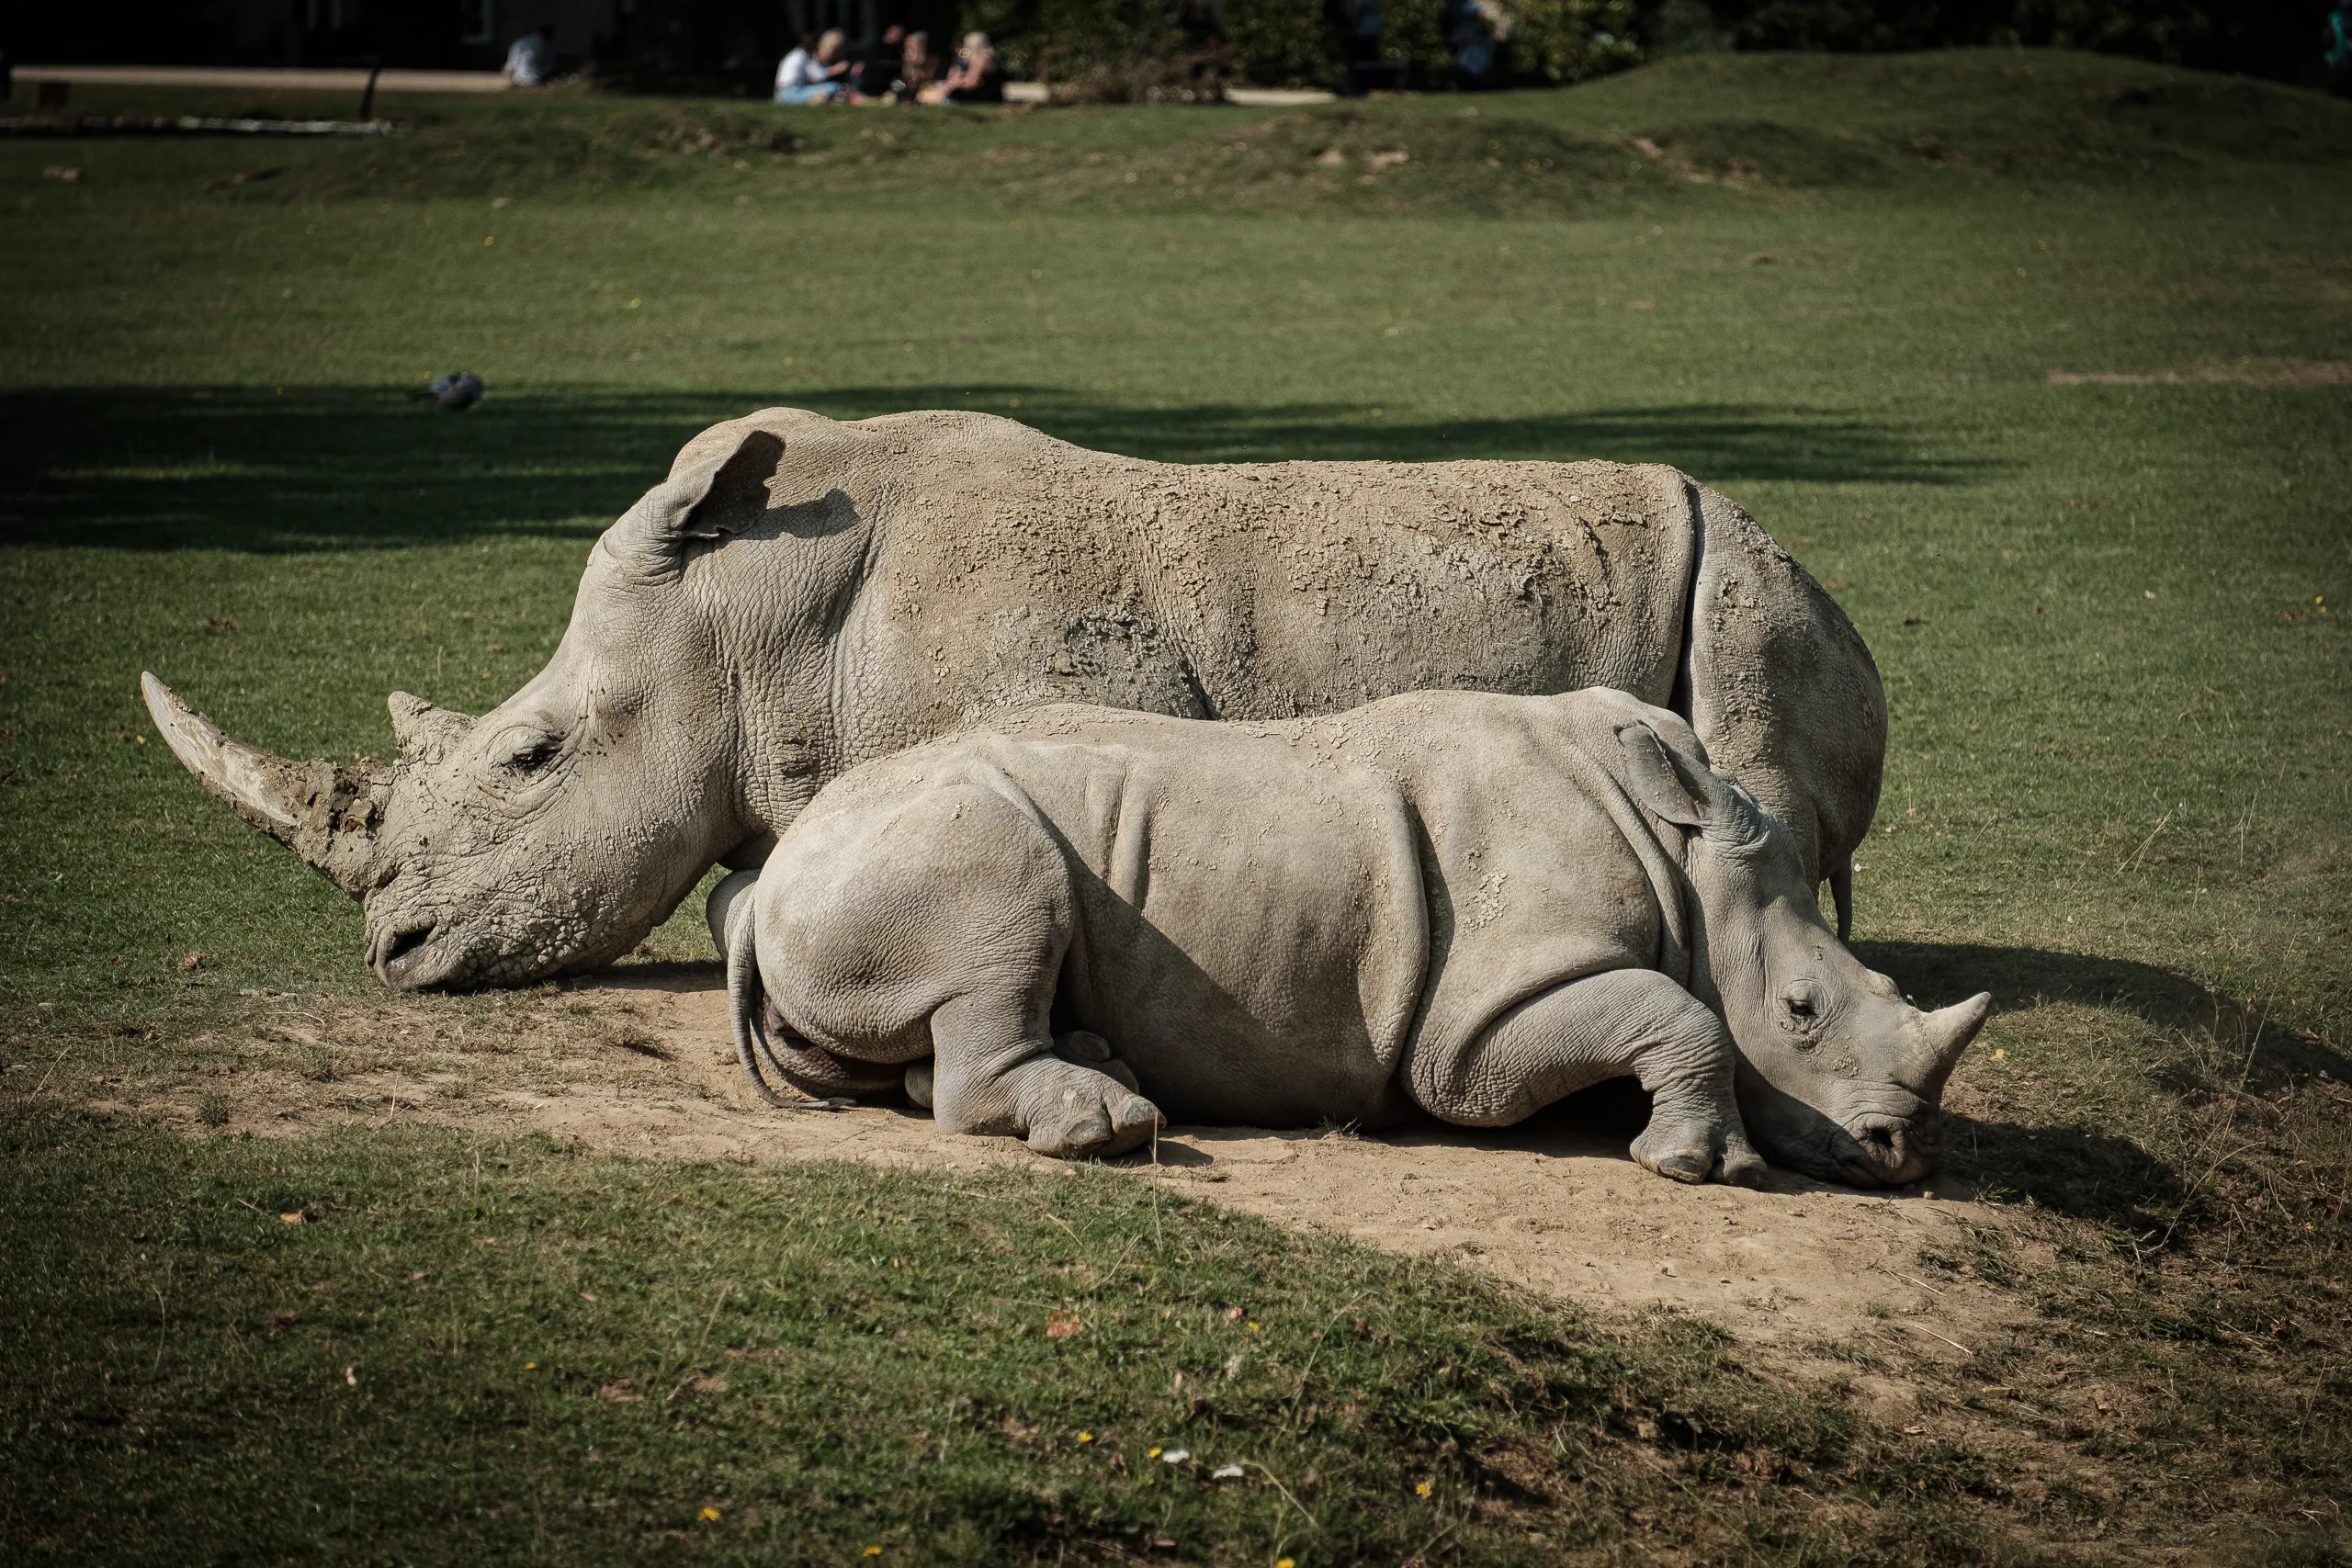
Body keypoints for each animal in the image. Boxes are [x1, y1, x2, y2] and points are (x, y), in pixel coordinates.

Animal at [721, 688, 1984, 1187]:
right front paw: (1703, 1170)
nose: (1904, 1153)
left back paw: (1098, 1065)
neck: (1683, 857)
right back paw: (1114, 1125)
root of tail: (777, 868)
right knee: (997, 885)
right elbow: (1676, 1014)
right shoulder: (1477, 1024)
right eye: (1801, 1013)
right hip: (935, 839)